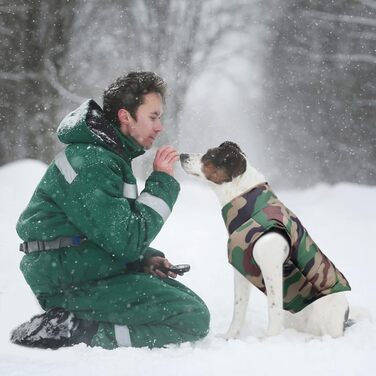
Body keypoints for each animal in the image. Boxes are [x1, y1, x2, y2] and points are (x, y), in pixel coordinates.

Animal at [179, 142, 350, 340]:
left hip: (324, 308)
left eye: (211, 155)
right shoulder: (241, 270)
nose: (182, 155)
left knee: (329, 335)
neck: (249, 208)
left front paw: (269, 339)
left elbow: (273, 309)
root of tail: (345, 319)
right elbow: (238, 310)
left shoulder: (272, 268)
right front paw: (230, 336)